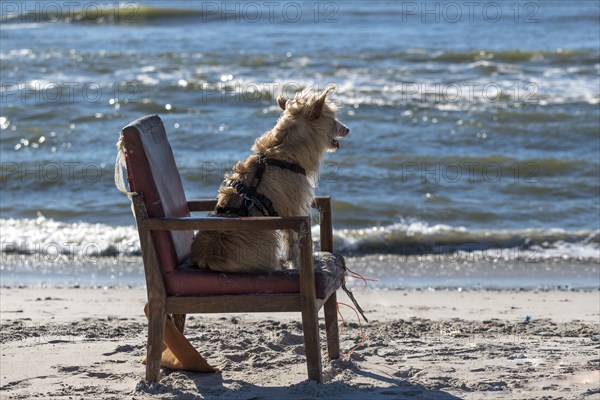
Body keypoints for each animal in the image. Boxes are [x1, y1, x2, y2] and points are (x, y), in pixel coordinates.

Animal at [190, 86, 350, 274]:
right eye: (332, 118)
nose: (347, 129)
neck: (283, 151)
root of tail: (207, 260)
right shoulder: (294, 209)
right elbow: (293, 243)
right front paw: (296, 265)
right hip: (267, 238)